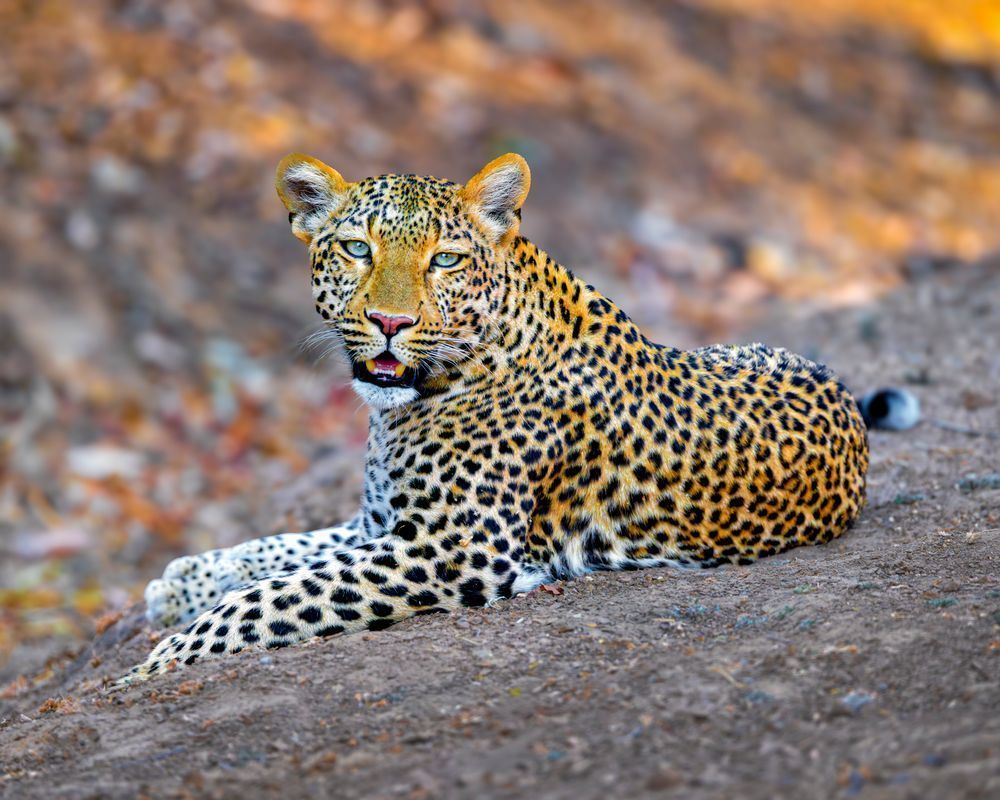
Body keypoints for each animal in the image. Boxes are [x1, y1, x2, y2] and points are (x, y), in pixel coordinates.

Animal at [120, 152, 868, 684]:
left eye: (445, 260)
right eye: (358, 249)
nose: (389, 322)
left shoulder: (452, 550)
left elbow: (273, 596)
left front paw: (155, 662)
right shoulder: (380, 524)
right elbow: (277, 550)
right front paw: (180, 583)